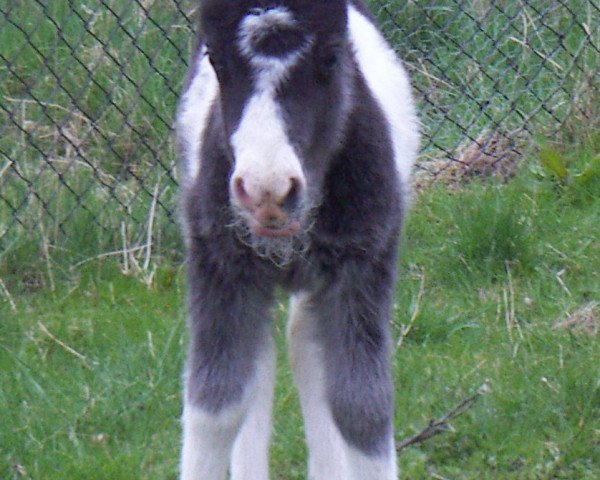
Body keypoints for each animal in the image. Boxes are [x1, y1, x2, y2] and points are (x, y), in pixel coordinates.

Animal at [176, 1, 420, 478]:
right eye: (215, 59)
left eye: (331, 57)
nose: (266, 190)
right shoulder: (220, 266)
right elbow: (214, 407)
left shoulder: (365, 263)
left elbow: (362, 407)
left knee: (303, 339)